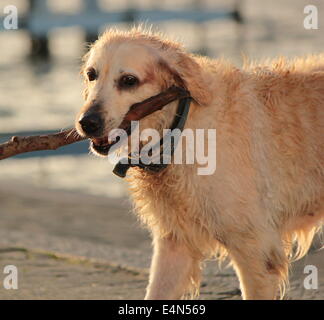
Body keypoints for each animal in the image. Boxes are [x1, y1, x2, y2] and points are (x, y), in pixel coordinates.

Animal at [74, 27, 322, 300]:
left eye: (129, 80)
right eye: (91, 74)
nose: (87, 122)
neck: (180, 128)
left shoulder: (255, 250)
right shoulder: (175, 242)